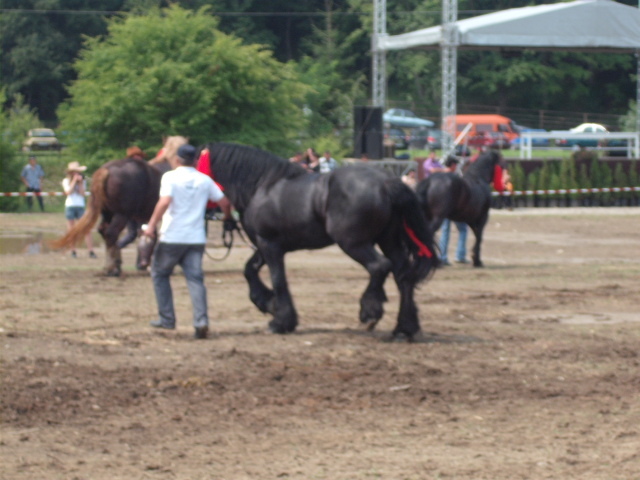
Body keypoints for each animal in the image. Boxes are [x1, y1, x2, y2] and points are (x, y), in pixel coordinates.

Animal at [202, 142, 438, 338]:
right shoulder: (264, 244)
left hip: (353, 243)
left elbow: (278, 279)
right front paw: (267, 303)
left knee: (379, 267)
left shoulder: (269, 244)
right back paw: (404, 328)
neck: (262, 186)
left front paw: (280, 321)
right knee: (403, 276)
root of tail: (386, 182)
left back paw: (369, 312)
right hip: (388, 241)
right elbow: (249, 270)